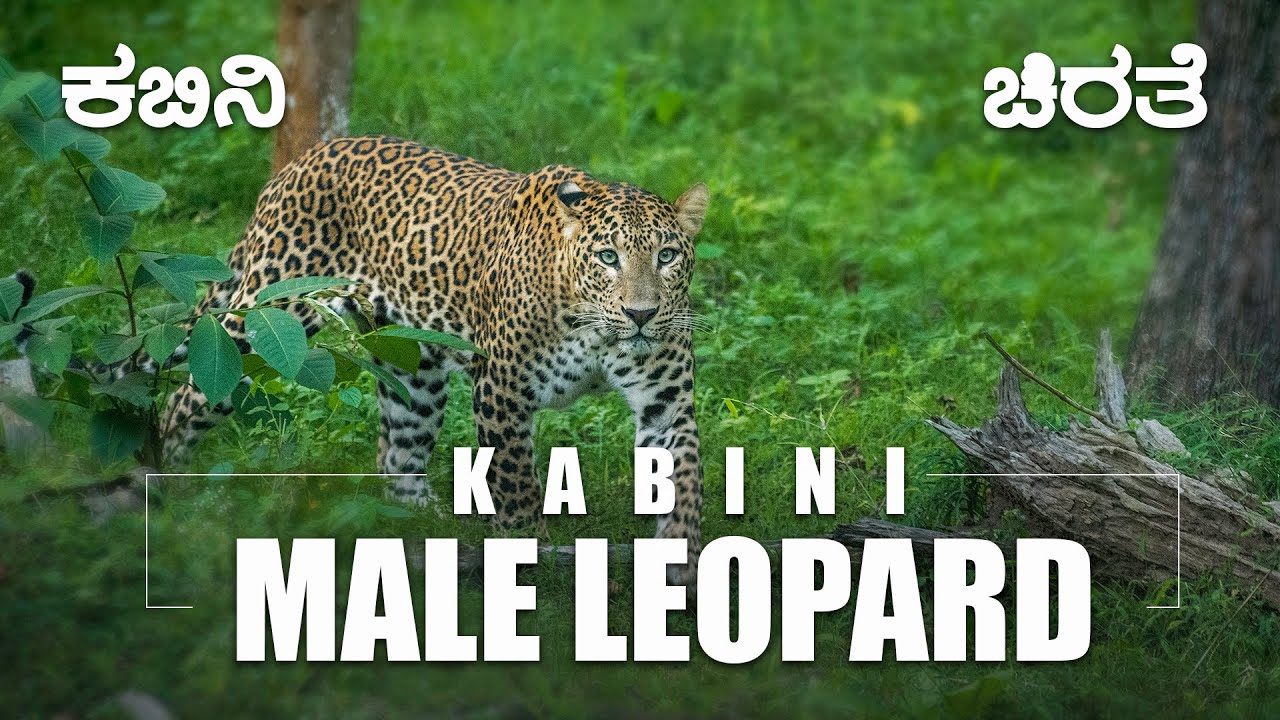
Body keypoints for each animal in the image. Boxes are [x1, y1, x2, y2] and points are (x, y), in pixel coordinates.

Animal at [162, 135, 710, 588]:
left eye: (665, 256)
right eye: (607, 257)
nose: (641, 314)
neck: (595, 330)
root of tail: (301, 161)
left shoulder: (666, 405)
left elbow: (683, 478)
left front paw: (681, 562)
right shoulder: (502, 395)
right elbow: (516, 491)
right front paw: (531, 559)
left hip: (411, 370)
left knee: (395, 456)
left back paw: (421, 533)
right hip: (262, 321)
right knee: (182, 400)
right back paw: (174, 496)